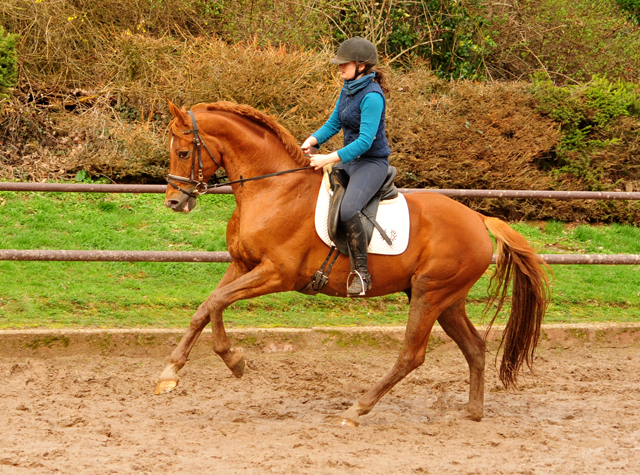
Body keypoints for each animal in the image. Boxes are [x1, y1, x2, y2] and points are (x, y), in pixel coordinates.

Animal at [158, 101, 548, 428]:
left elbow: (216, 302)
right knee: (474, 347)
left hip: (430, 294)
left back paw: (357, 409)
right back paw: (473, 411)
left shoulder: (276, 274)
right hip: (448, 300)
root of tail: (479, 219)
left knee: (412, 355)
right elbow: (206, 308)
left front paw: (229, 360)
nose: (175, 202)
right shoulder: (242, 264)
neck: (273, 189)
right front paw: (173, 371)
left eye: (183, 152)